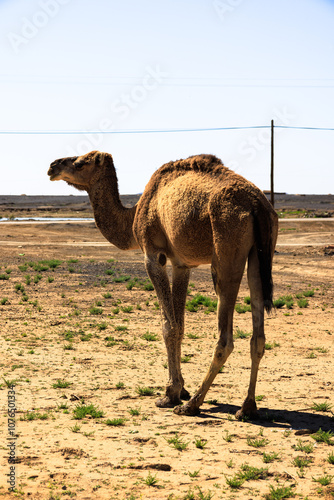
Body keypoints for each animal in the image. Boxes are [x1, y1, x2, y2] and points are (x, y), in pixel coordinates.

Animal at [48, 151, 278, 418]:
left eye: (79, 162)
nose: (52, 167)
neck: (135, 214)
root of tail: (256, 205)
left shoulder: (153, 254)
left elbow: (168, 326)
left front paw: (171, 394)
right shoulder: (182, 264)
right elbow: (180, 324)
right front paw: (181, 389)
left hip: (226, 247)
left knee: (225, 337)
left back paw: (193, 405)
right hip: (260, 253)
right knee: (258, 335)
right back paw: (247, 407)